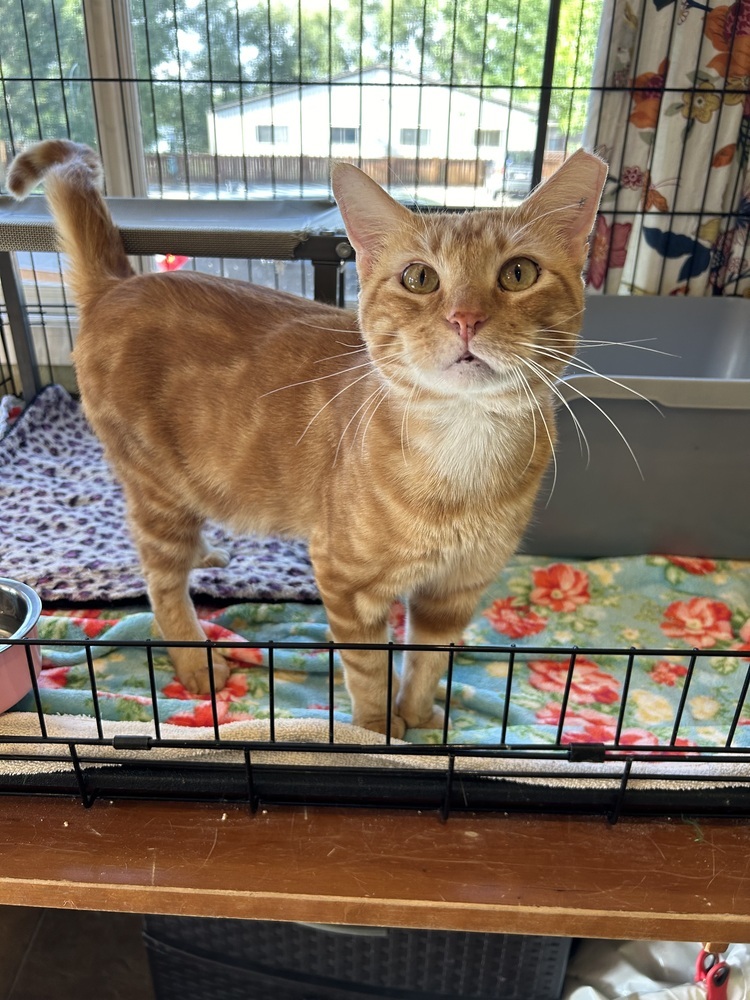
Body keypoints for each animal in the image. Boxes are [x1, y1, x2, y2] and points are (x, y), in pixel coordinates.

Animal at [8, 139, 608, 736]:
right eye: (419, 278)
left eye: (518, 273)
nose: (466, 318)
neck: (465, 450)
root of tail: (120, 283)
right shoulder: (345, 584)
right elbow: (370, 672)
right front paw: (379, 732)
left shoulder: (455, 591)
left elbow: (427, 661)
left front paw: (419, 717)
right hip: (156, 488)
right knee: (160, 582)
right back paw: (195, 662)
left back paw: (206, 555)